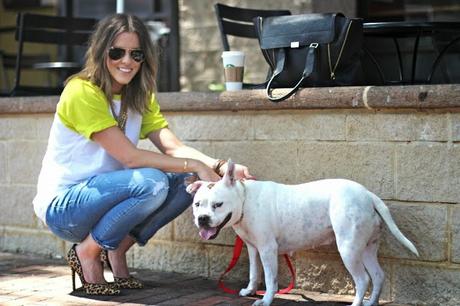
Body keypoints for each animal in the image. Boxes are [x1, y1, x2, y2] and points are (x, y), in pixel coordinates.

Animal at [187, 160, 420, 306]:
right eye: (197, 204)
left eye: (218, 204)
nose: (203, 219)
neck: (244, 200)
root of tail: (367, 194)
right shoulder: (253, 248)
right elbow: (254, 272)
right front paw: (250, 290)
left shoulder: (268, 250)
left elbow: (270, 279)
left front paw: (266, 300)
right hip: (366, 249)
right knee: (378, 275)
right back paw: (371, 302)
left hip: (348, 248)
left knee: (363, 279)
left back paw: (357, 303)